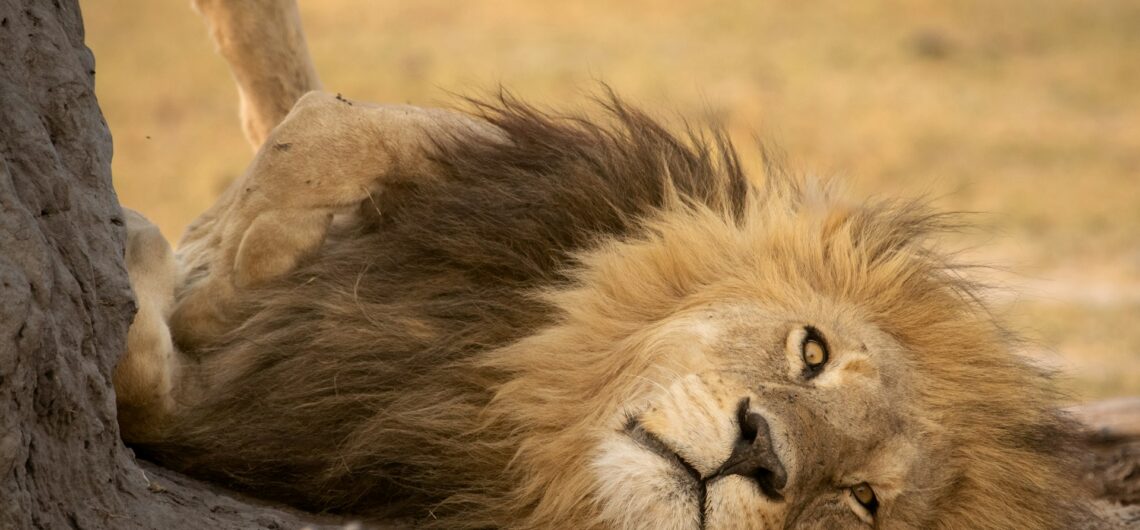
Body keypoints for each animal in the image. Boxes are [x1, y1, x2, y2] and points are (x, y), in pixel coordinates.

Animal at [113, 1, 1108, 528]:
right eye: (813, 353)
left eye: (859, 499)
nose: (761, 453)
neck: (503, 388)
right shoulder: (531, 176)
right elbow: (325, 131)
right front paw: (208, 271)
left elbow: (147, 380)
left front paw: (156, 272)